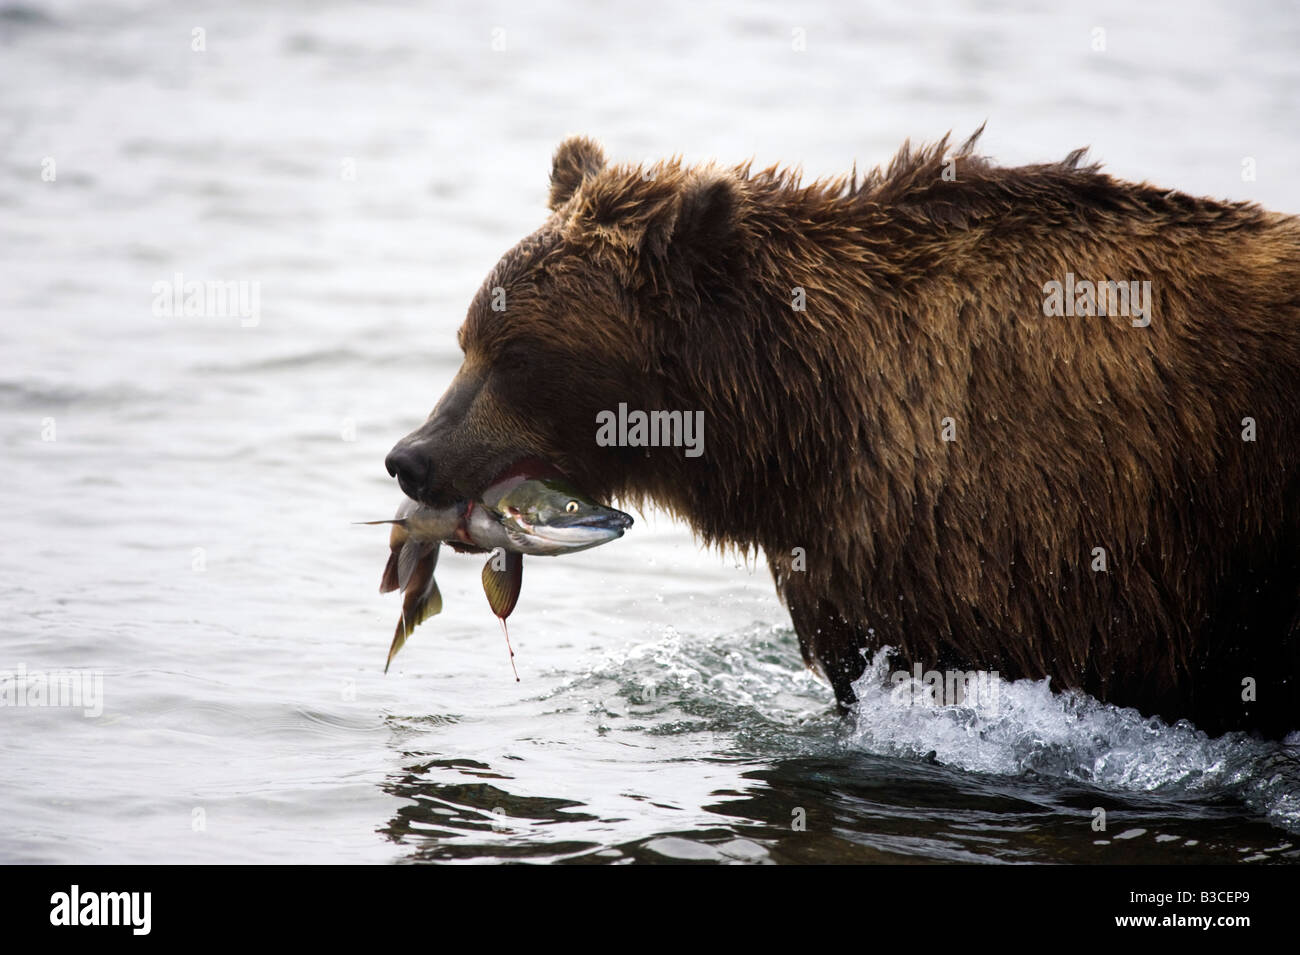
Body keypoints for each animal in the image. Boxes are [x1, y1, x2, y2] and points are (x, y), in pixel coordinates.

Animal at [384, 128, 1300, 738]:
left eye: (518, 352)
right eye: (468, 337)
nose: (411, 459)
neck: (803, 427)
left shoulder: (1037, 551)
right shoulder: (853, 558)